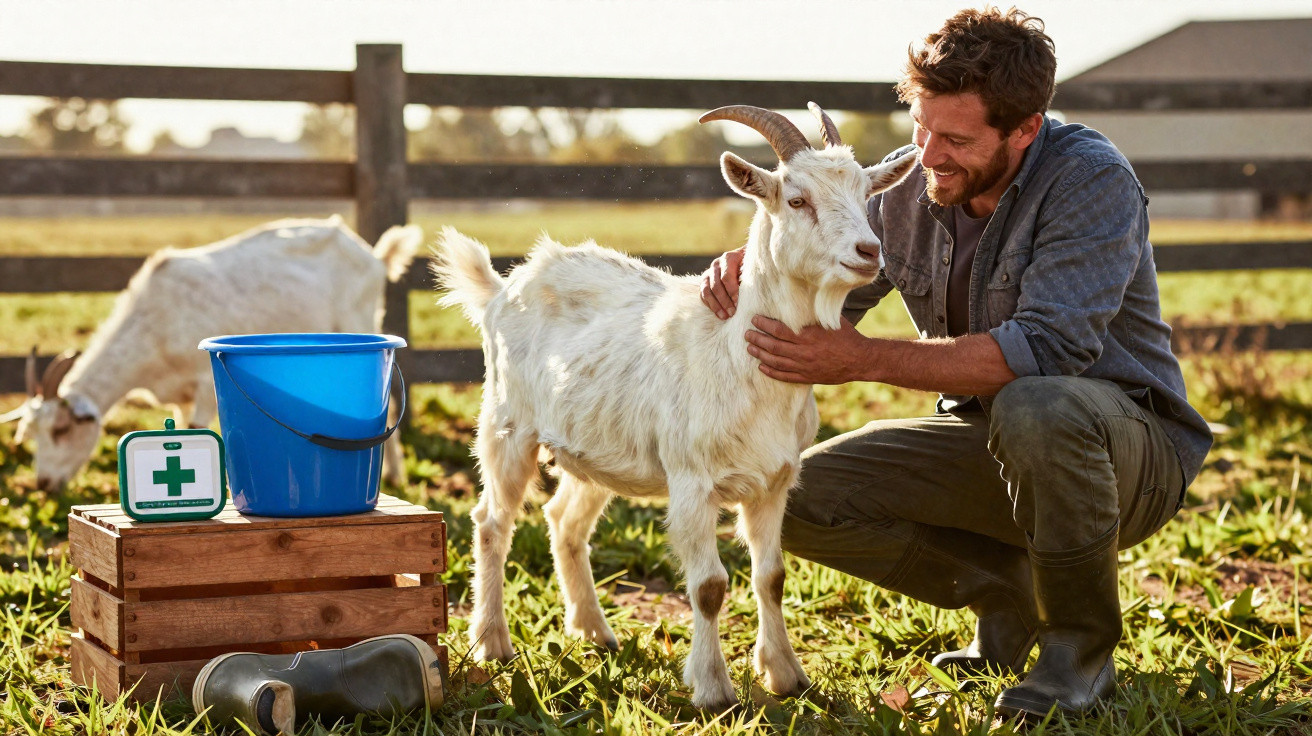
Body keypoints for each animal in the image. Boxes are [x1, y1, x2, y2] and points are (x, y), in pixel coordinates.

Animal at [2, 217, 421, 492]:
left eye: (61, 430)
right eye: (30, 433)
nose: (43, 484)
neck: (155, 324)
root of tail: (375, 256)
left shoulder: (204, 384)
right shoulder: (179, 395)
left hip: (363, 320)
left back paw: (395, 475)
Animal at [432, 104, 917, 710]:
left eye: (865, 193)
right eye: (796, 199)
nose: (869, 253)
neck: (735, 355)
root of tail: (502, 287)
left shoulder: (774, 482)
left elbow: (772, 576)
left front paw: (786, 675)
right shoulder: (692, 482)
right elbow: (709, 587)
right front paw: (712, 689)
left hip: (599, 448)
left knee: (565, 520)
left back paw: (595, 631)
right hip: (507, 423)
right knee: (492, 522)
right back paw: (492, 643)